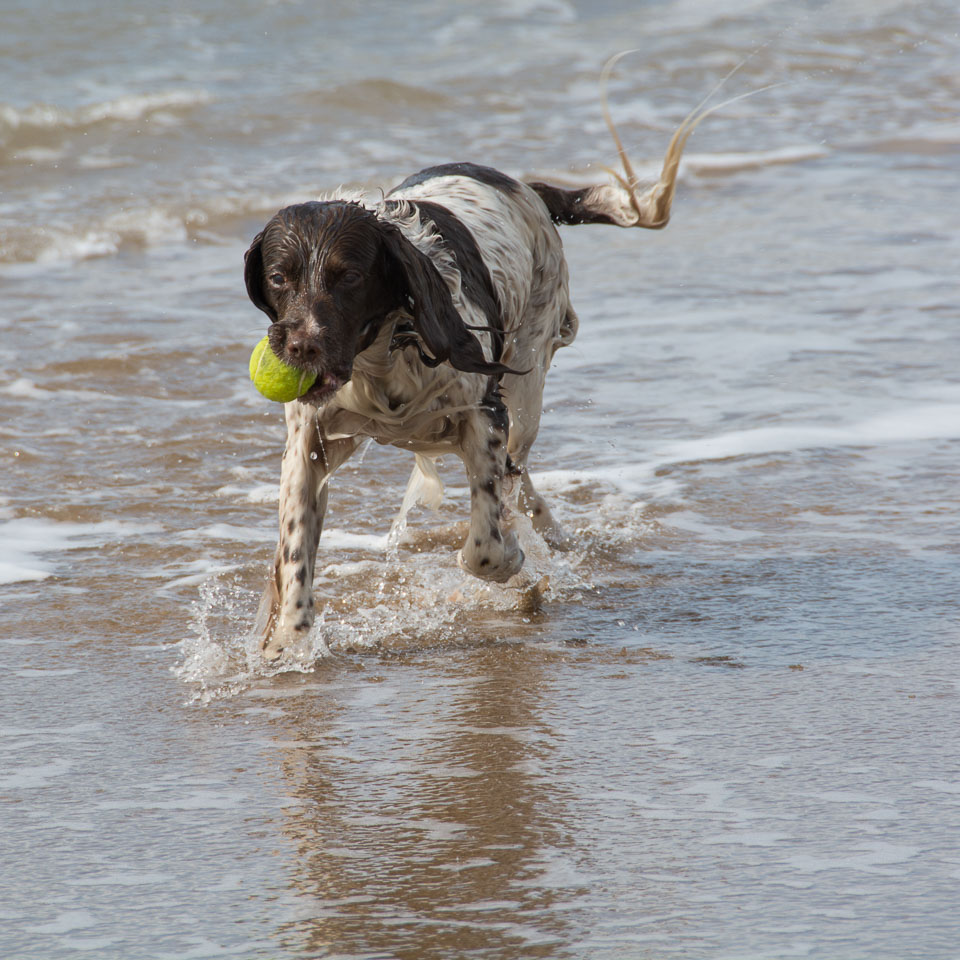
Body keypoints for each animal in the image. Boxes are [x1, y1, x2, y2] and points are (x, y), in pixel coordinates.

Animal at [242, 75, 704, 664]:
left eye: (349, 277)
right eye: (279, 277)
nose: (301, 347)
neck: (381, 358)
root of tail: (528, 188)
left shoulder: (484, 415)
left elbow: (484, 547)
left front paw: (510, 565)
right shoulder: (310, 442)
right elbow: (295, 548)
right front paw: (290, 639)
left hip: (527, 384)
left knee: (516, 467)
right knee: (520, 477)